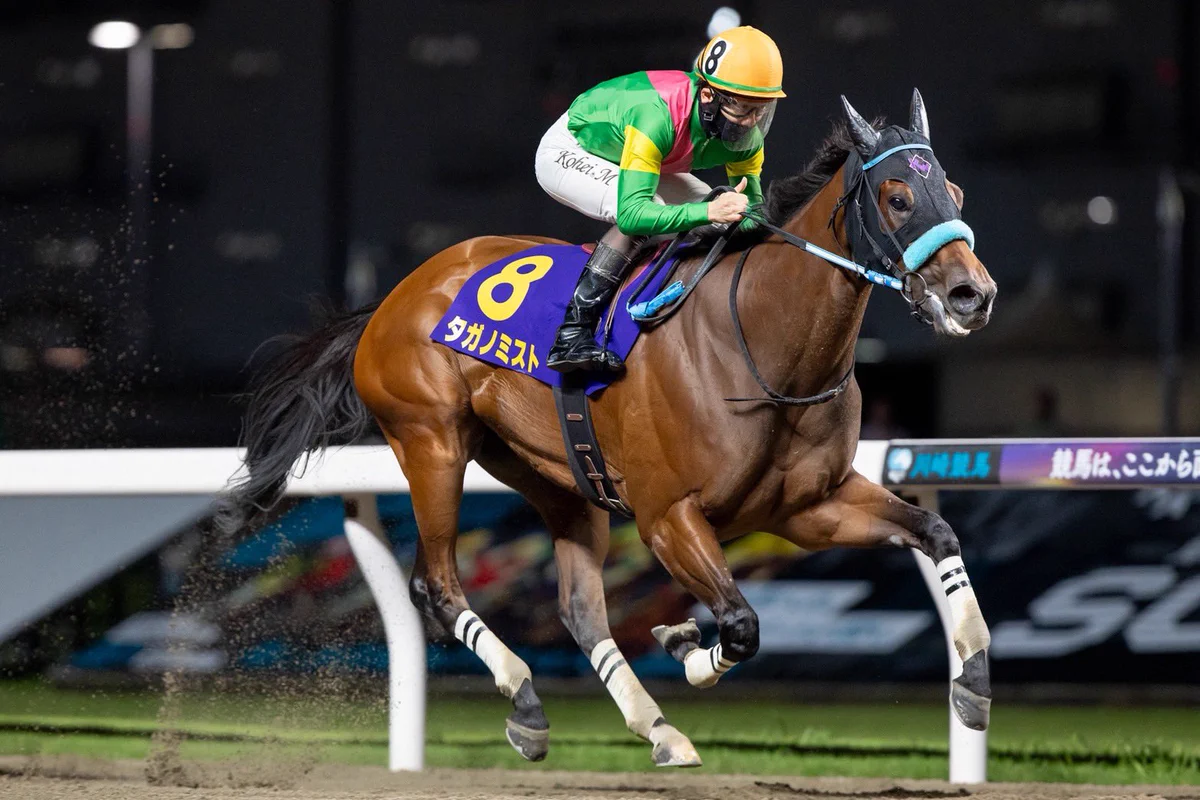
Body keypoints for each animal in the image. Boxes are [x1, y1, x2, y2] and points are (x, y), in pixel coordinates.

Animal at [223, 91, 998, 768]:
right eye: (898, 198)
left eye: (958, 195)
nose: (973, 295)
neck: (762, 340)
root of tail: (392, 299)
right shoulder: (667, 516)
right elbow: (741, 626)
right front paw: (686, 644)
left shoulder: (809, 507)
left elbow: (937, 533)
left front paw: (973, 679)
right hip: (432, 443)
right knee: (435, 584)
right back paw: (527, 698)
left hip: (554, 474)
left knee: (580, 610)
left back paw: (657, 728)